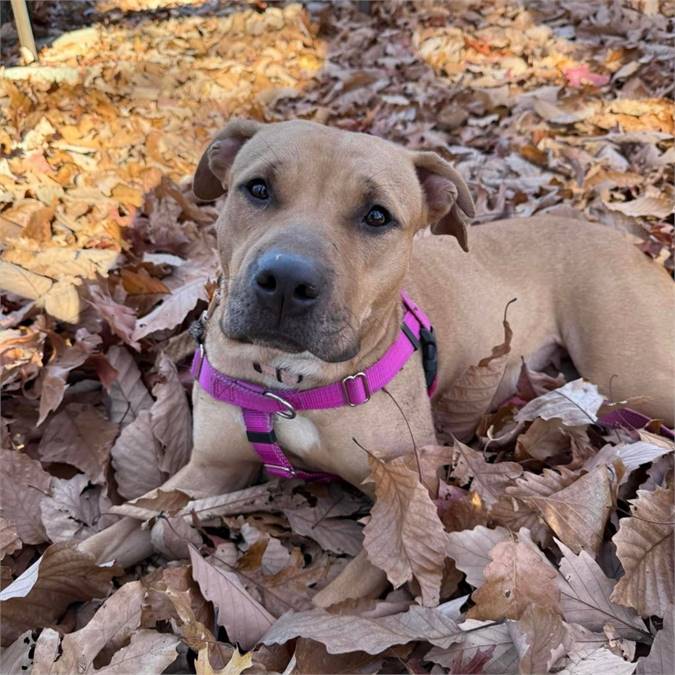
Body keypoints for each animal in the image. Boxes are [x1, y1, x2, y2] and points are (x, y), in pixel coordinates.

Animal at [80, 117, 675, 604]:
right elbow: (113, 533)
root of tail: (620, 238)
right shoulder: (208, 470)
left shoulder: (405, 497)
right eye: (258, 189)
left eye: (376, 216)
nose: (286, 280)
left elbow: (321, 610)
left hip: (634, 372)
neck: (287, 380)